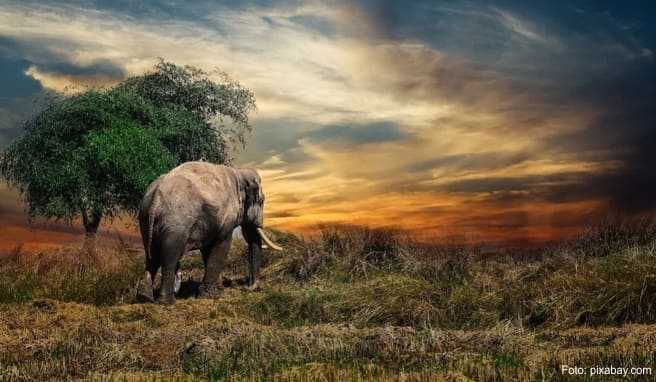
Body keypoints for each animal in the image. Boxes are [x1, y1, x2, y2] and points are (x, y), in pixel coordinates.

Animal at [136, 161, 282, 304]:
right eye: (261, 201)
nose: (247, 287)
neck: (239, 172)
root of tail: (155, 198)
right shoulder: (225, 218)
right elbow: (221, 246)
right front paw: (211, 295)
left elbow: (208, 250)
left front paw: (215, 291)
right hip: (175, 223)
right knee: (169, 258)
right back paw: (167, 302)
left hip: (145, 220)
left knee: (151, 256)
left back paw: (144, 297)